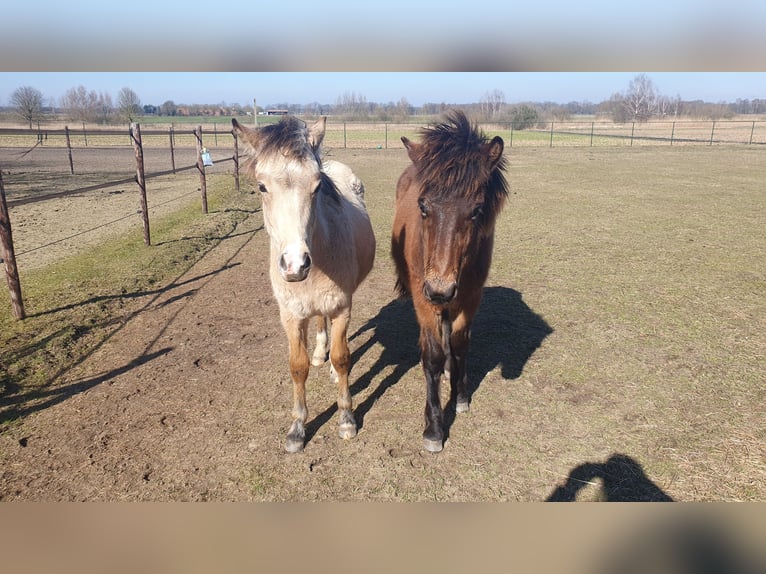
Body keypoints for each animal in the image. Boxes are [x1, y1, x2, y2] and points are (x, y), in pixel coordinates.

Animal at [392, 110, 508, 454]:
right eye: (423, 206)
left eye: (477, 210)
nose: (440, 289)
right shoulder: (424, 296)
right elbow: (431, 356)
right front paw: (434, 427)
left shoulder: (470, 296)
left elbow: (459, 345)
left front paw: (460, 395)